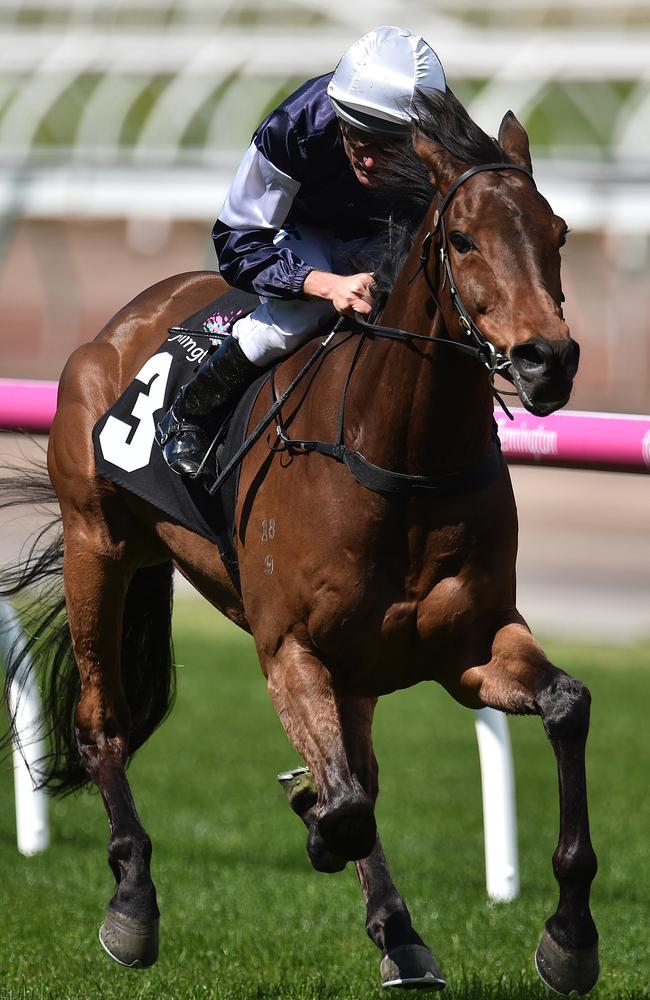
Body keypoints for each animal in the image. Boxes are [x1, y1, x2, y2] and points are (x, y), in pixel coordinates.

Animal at [1, 97, 596, 996]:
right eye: (462, 239)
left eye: (556, 231)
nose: (546, 360)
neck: (399, 456)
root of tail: (123, 320)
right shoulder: (289, 648)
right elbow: (345, 807)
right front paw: (311, 817)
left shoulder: (468, 644)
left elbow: (565, 705)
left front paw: (569, 935)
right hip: (96, 545)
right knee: (103, 724)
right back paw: (133, 904)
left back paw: (401, 936)